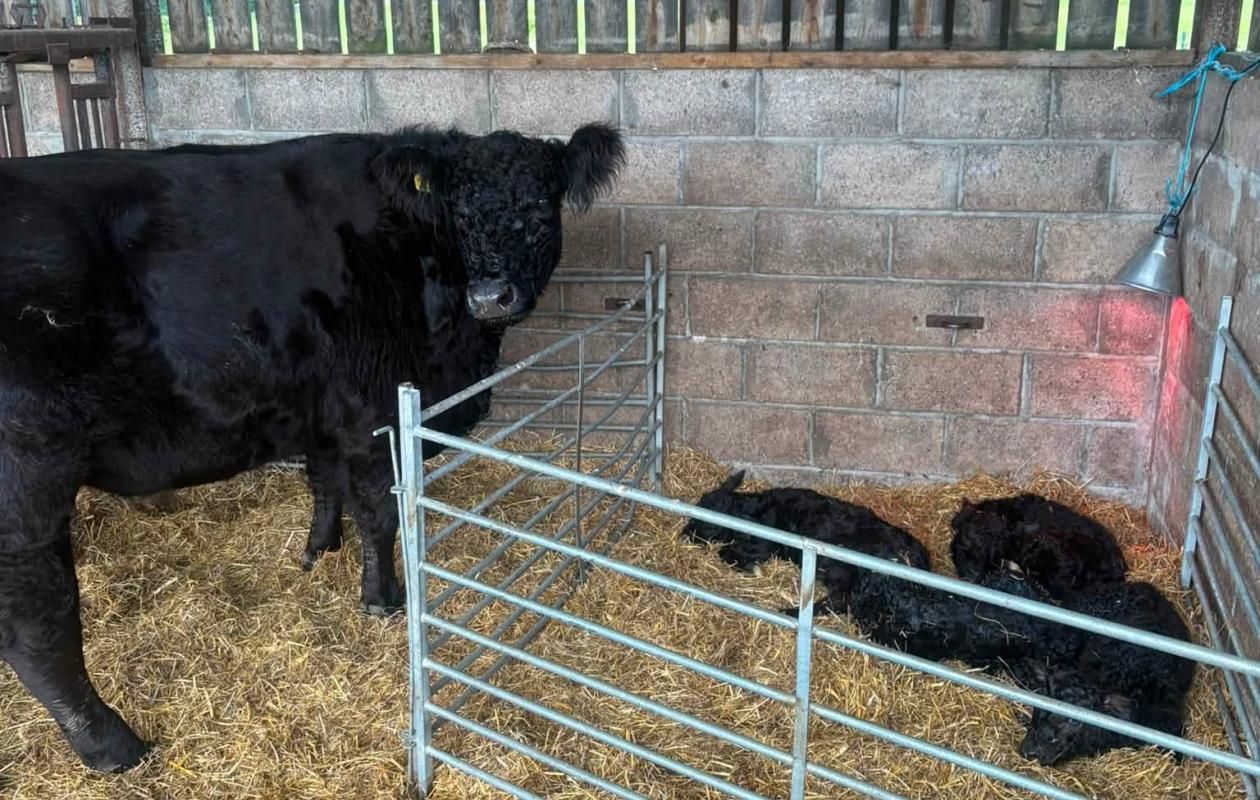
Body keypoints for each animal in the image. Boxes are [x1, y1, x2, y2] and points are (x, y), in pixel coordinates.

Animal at [0, 122, 624, 773]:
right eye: (458, 209)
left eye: (542, 201)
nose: (490, 295)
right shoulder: (374, 411)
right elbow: (379, 510)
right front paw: (382, 598)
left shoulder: (322, 405)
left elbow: (325, 481)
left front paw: (318, 549)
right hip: (27, 478)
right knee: (35, 621)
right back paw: (111, 744)